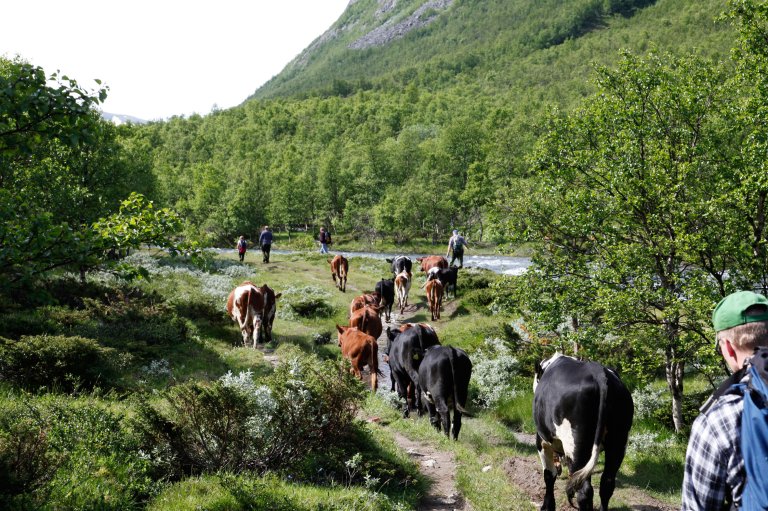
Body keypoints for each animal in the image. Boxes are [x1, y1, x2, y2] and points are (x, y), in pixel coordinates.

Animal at [532, 354, 632, 511]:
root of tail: (599, 372)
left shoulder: (542, 441)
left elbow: (549, 475)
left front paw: (547, 506)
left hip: (576, 447)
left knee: (584, 491)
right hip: (618, 443)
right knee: (607, 484)